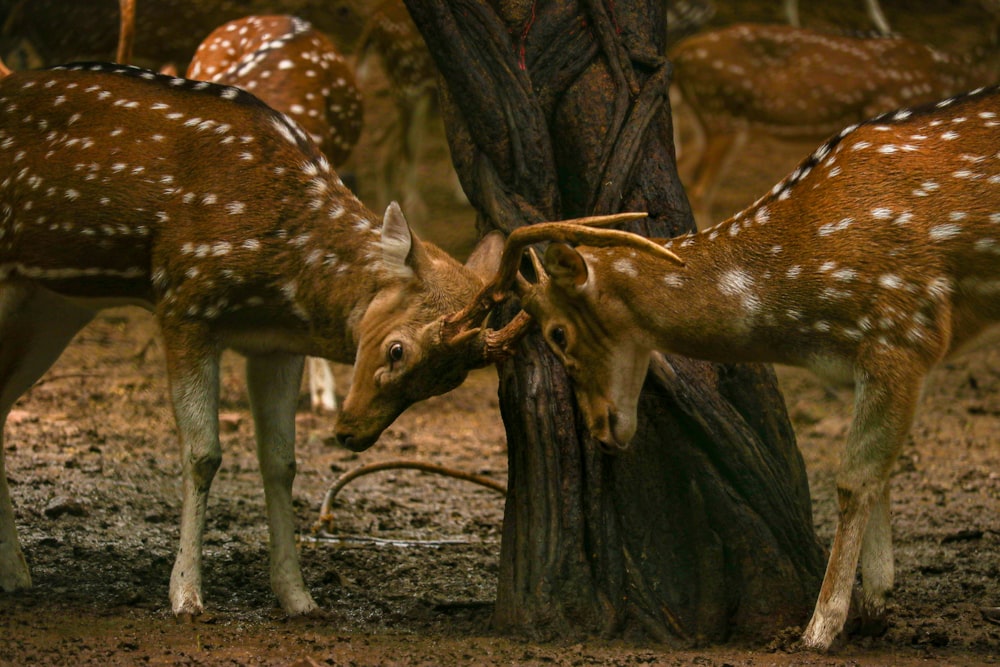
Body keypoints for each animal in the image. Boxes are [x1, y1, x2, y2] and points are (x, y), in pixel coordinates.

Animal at [0, 62, 584, 620]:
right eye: (397, 349)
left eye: (447, 381)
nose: (352, 434)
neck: (282, 277)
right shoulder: (183, 299)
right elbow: (203, 453)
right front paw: (186, 596)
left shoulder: (275, 344)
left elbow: (282, 462)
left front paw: (298, 597)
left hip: (53, 305)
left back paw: (17, 573)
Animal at [456, 85, 1000, 652]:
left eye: (558, 333)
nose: (602, 430)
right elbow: (883, 473)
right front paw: (874, 607)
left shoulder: (902, 328)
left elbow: (854, 478)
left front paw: (819, 630)